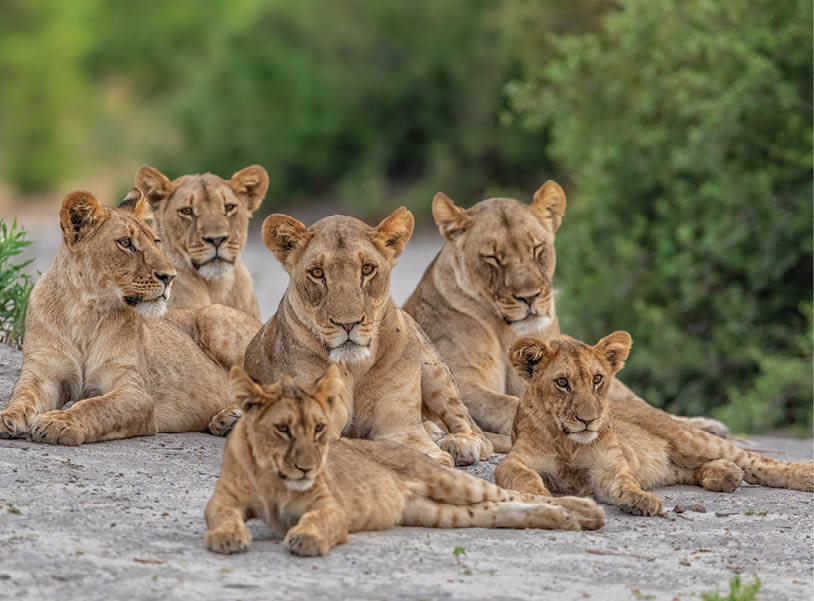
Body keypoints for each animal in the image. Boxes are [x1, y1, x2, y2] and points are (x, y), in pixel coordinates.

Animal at [0, 189, 261, 445]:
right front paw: (6, 417)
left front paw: (58, 422)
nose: (170, 277)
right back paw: (227, 421)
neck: (85, 310)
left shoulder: (136, 393)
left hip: (214, 317)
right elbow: (23, 395)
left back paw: (232, 418)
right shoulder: (43, 373)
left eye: (156, 241)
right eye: (126, 243)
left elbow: (95, 406)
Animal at [203, 364, 605, 556]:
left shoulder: (331, 506)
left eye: (319, 428)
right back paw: (566, 519)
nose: (308, 465)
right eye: (283, 429)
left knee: (517, 494)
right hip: (436, 512)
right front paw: (227, 537)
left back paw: (583, 511)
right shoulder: (222, 501)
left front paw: (306, 539)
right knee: (502, 510)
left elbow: (319, 520)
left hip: (445, 481)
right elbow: (221, 517)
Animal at [242, 208, 492, 467]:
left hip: (434, 370)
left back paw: (461, 443)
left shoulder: (401, 427)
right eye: (317, 273)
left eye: (367, 269)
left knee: (475, 429)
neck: (355, 368)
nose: (348, 323)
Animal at [403, 182, 729, 452]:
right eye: (492, 258)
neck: (507, 331)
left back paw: (708, 425)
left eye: (537, 248)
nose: (529, 297)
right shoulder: (463, 378)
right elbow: (509, 405)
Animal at [494, 332, 814, 516]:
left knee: (759, 461)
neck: (567, 442)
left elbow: (624, 482)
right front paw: (539, 496)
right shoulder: (513, 461)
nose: (588, 420)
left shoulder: (608, 467)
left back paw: (804, 474)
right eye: (562, 383)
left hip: (691, 439)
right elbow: (524, 476)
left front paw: (639, 501)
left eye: (597, 379)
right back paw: (725, 474)